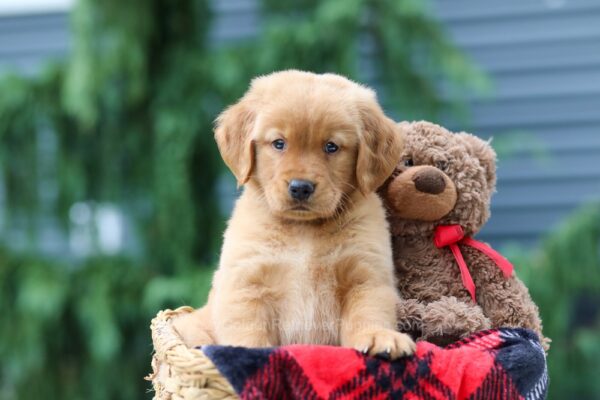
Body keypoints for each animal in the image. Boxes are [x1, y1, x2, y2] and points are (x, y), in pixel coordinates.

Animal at [173, 69, 414, 360]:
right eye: (279, 143)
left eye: (331, 147)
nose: (300, 187)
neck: (303, 230)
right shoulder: (245, 281)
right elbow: (247, 328)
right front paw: (245, 352)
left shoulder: (366, 276)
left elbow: (369, 312)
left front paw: (379, 336)